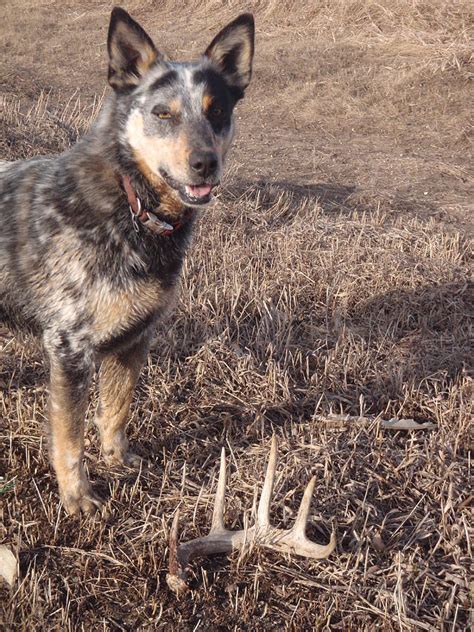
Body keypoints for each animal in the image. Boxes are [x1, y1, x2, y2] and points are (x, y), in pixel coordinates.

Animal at [0, 8, 256, 512]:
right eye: (163, 113)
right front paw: (77, 496)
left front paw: (118, 459)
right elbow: (69, 437)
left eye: (217, 110)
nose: (205, 163)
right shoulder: (69, 346)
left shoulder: (136, 334)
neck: (131, 204)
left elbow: (117, 409)